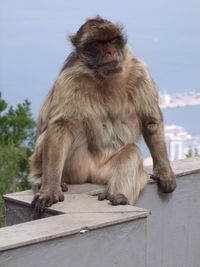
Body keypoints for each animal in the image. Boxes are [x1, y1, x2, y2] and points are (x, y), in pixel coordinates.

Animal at [28, 16, 176, 214]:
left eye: (112, 40)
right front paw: (49, 190)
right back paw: (44, 180)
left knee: (131, 153)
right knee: (73, 127)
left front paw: (164, 171)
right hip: (76, 168)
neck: (104, 77)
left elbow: (150, 121)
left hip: (103, 172)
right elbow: (61, 126)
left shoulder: (139, 71)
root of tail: (91, 174)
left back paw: (118, 196)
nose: (110, 51)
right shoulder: (70, 78)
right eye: (99, 43)